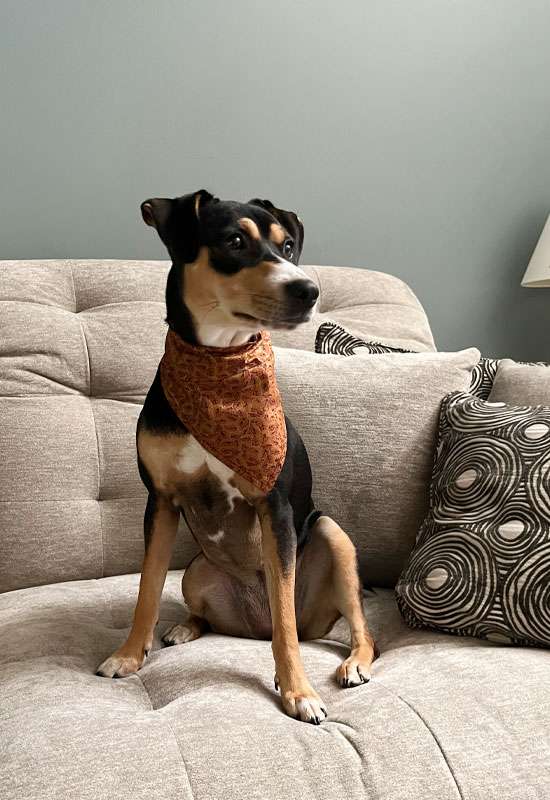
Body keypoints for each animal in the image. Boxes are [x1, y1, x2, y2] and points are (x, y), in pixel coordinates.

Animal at [97, 191, 378, 720]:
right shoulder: (160, 501)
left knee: (355, 628)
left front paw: (298, 691)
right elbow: (147, 588)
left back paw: (352, 664)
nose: (308, 290)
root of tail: (252, 625)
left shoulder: (275, 506)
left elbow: (285, 623)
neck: (218, 364)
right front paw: (128, 654)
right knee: (207, 612)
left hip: (333, 537)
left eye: (287, 246)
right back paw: (186, 627)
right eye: (233, 241)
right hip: (196, 572)